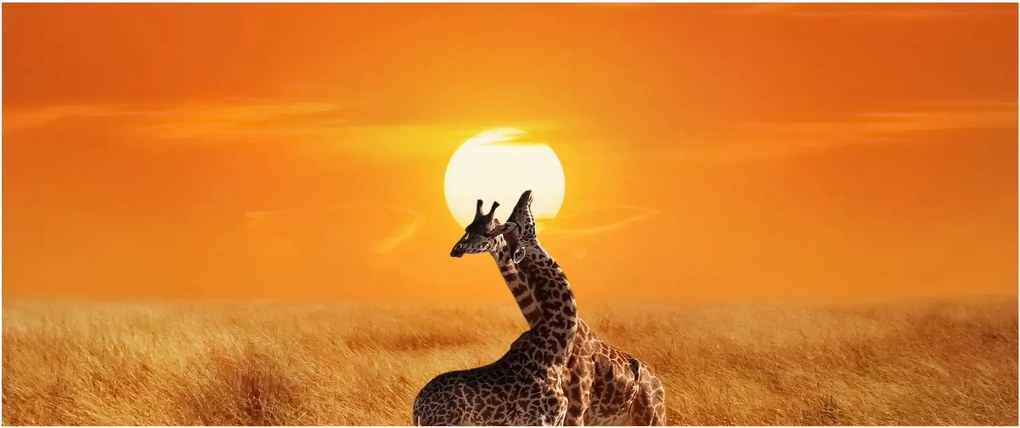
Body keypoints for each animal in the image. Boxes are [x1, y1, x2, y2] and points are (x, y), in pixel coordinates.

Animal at [412, 200, 579, 426]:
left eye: (485, 232)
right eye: (468, 229)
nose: (456, 249)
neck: (555, 355)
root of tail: (418, 401)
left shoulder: (557, 419)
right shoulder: (539, 419)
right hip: (444, 421)